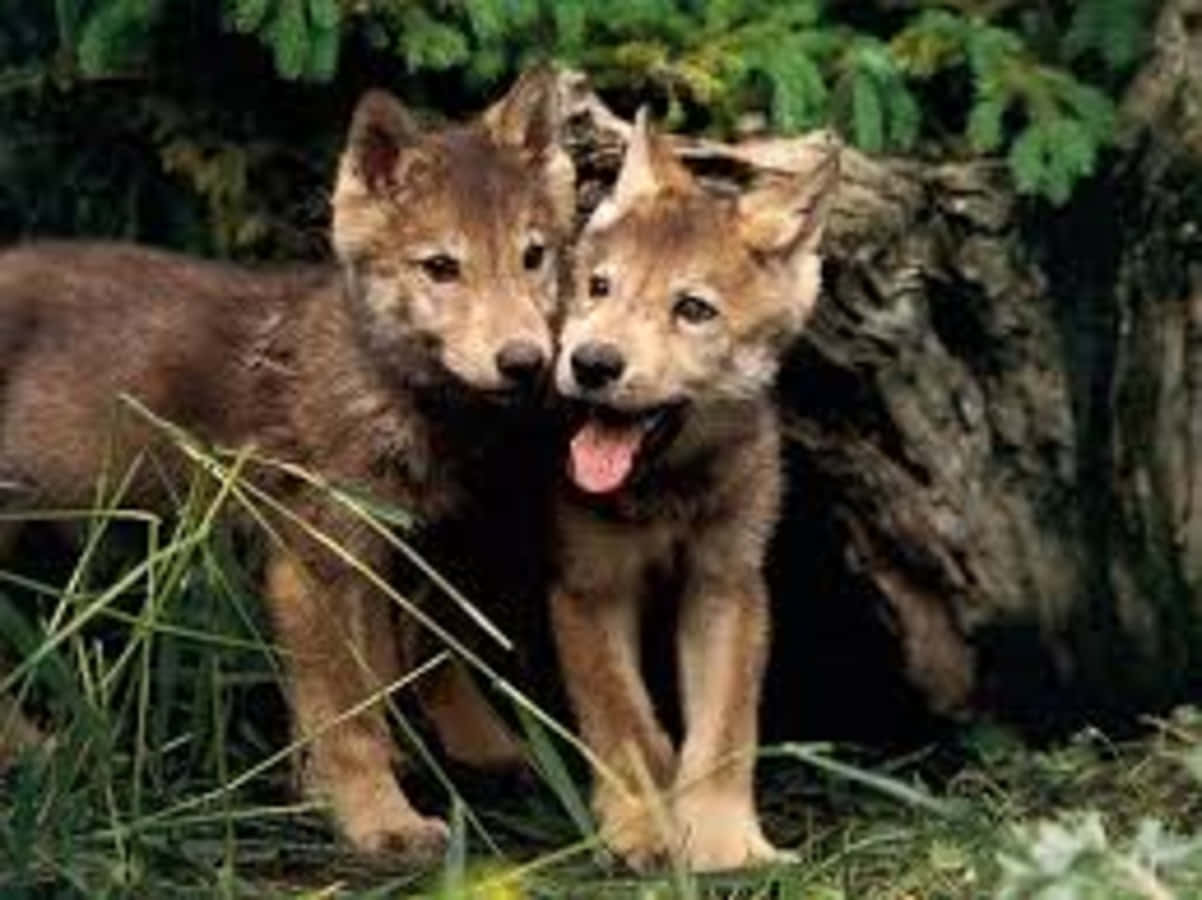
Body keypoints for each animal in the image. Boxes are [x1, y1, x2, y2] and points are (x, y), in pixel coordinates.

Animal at [0, 68, 573, 861]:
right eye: (441, 268)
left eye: (532, 256)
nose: (525, 362)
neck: (379, 384)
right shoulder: (315, 566)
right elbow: (347, 715)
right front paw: (377, 819)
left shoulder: (389, 549)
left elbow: (394, 674)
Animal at [550, 112, 838, 872]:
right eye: (599, 287)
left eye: (692, 309)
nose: (592, 363)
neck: (667, 492)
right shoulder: (588, 587)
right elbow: (626, 723)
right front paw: (643, 831)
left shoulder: (727, 584)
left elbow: (725, 733)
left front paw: (724, 844)